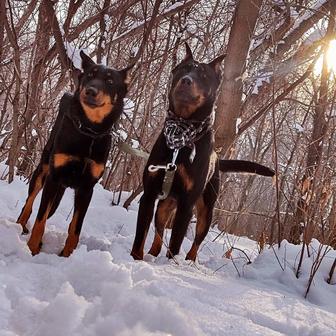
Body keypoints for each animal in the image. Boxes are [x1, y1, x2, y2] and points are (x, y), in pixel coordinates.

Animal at [17, 52, 133, 256]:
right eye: (89, 75)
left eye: (110, 81)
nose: (91, 91)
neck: (89, 131)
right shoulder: (54, 177)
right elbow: (40, 219)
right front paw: (32, 248)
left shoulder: (87, 188)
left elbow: (75, 227)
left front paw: (67, 255)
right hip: (43, 170)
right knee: (30, 202)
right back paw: (21, 226)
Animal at [130, 43, 274, 262]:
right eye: (183, 69)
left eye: (204, 75)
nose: (186, 80)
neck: (182, 134)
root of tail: (218, 159)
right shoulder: (149, 193)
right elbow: (141, 234)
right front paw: (135, 259)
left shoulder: (187, 205)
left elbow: (176, 241)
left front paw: (169, 263)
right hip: (164, 205)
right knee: (159, 232)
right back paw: (153, 254)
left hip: (206, 210)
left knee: (196, 242)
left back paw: (189, 261)